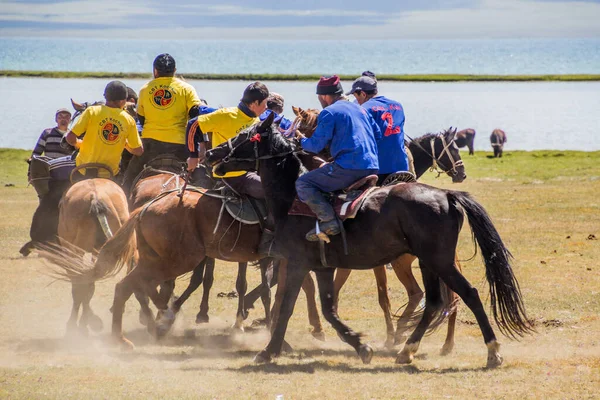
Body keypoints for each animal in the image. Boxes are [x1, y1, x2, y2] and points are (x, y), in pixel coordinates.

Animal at [205, 112, 528, 368]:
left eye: (245, 136)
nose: (212, 155)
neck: (292, 196)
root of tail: (446, 195)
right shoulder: (322, 267)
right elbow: (329, 308)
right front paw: (361, 346)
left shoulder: (297, 263)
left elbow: (287, 307)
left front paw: (268, 351)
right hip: (428, 262)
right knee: (435, 302)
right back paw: (407, 350)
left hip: (438, 261)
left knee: (467, 294)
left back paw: (491, 352)